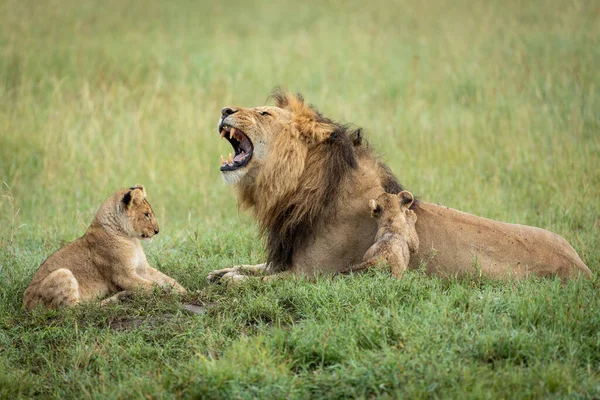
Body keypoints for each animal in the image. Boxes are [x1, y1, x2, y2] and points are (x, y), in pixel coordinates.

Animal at [24, 184, 185, 310]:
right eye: (146, 214)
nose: (157, 231)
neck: (130, 238)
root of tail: (24, 304)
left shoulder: (142, 268)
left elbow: (165, 278)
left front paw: (182, 291)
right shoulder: (123, 275)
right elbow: (151, 286)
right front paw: (164, 294)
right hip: (62, 272)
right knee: (77, 309)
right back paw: (121, 296)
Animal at [206, 92, 592, 282]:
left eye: (264, 113)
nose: (224, 109)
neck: (295, 189)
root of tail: (583, 269)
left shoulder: (310, 274)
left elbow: (258, 283)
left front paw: (232, 280)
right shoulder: (285, 259)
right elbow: (252, 267)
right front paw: (222, 271)